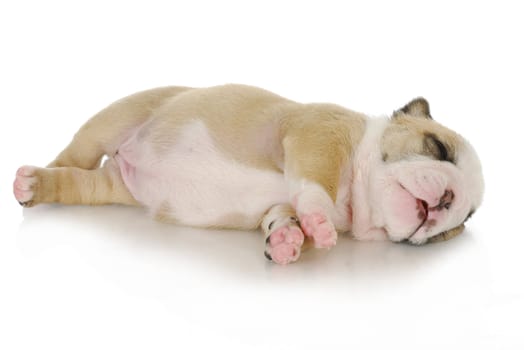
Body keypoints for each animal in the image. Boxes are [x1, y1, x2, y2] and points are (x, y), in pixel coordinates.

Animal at [12, 85, 486, 266]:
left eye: (461, 221)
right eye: (438, 149)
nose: (449, 200)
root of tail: (126, 158)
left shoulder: (282, 199)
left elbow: (281, 214)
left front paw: (287, 240)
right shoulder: (320, 135)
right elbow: (315, 185)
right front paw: (319, 223)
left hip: (115, 187)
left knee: (84, 184)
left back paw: (41, 185)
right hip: (112, 122)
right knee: (76, 152)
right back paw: (33, 178)